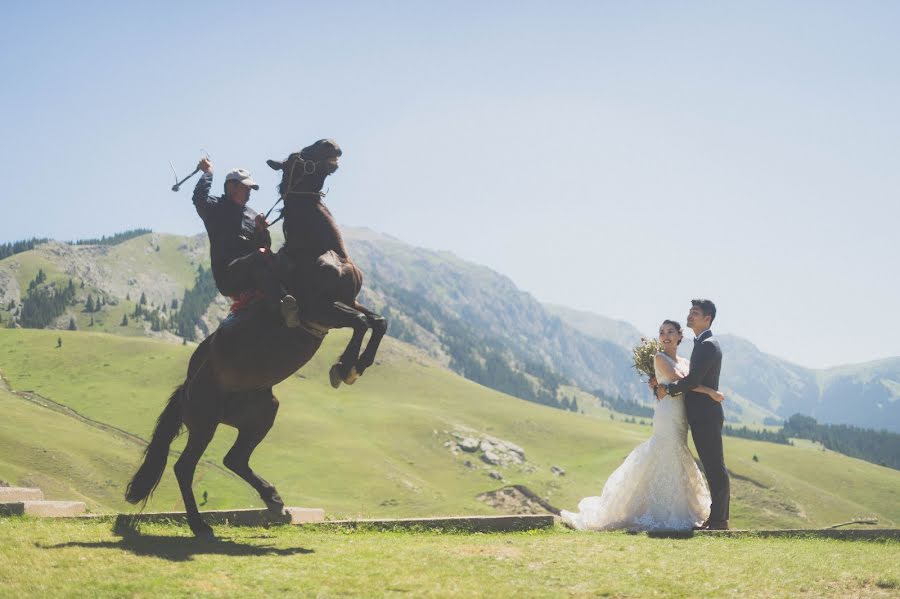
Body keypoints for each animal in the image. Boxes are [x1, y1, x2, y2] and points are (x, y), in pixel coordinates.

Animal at [125, 141, 384, 540]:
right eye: (300, 155)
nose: (331, 144)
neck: (317, 250)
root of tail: (187, 385)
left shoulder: (347, 302)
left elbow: (376, 321)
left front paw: (357, 365)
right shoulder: (320, 310)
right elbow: (359, 322)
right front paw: (344, 368)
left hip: (261, 412)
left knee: (234, 458)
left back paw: (275, 501)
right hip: (205, 422)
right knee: (185, 467)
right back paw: (200, 525)